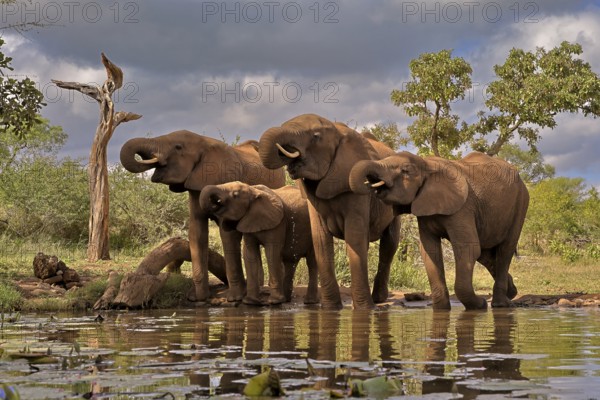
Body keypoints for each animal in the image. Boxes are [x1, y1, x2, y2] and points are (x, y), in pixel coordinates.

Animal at [120, 131, 286, 304]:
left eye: (178, 147)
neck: (203, 142)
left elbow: (227, 235)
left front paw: (234, 298)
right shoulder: (195, 188)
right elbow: (196, 231)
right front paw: (197, 298)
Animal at [258, 112, 404, 310]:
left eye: (315, 136)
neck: (337, 131)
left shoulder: (356, 187)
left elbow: (355, 237)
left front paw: (364, 309)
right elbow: (320, 239)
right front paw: (330, 308)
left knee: (390, 243)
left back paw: (379, 299)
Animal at [350, 150, 528, 310]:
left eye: (405, 171)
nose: (371, 184)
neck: (427, 165)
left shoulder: (463, 208)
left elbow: (467, 248)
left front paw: (480, 306)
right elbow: (430, 250)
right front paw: (441, 309)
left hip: (521, 203)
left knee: (505, 250)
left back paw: (501, 304)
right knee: (486, 255)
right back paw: (512, 292)